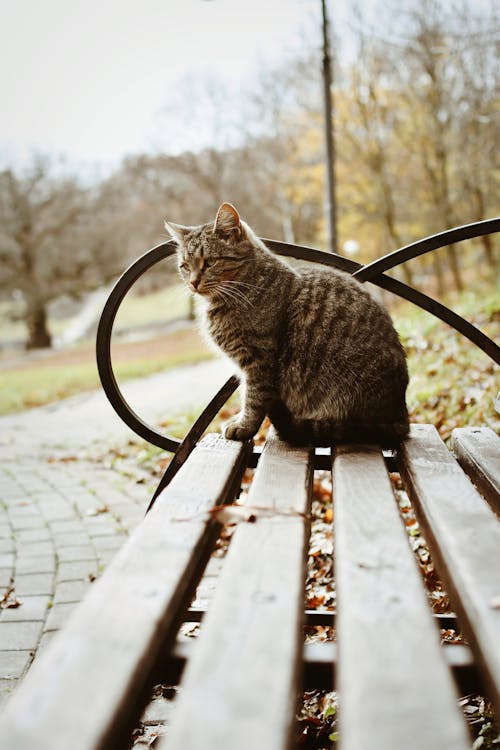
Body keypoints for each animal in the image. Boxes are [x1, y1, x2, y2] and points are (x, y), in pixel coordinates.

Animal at [166, 204, 408, 446]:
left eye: (209, 262)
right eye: (185, 266)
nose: (193, 282)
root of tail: (401, 416)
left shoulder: (259, 360)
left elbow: (253, 399)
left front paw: (244, 426)